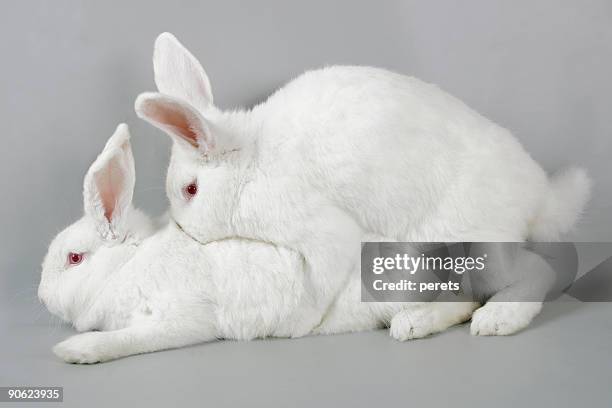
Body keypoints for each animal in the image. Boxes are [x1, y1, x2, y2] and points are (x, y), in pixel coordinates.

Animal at [38, 123, 480, 364]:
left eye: (74, 258)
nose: (41, 296)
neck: (130, 266)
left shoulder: (184, 317)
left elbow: (132, 338)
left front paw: (74, 350)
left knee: (463, 304)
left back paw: (412, 325)